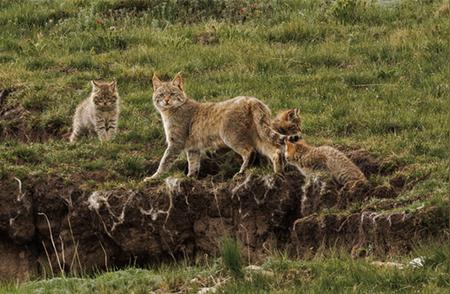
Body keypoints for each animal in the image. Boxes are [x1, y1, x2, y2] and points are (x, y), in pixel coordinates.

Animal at [144, 73, 284, 179]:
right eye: (161, 94)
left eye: (172, 93)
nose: (166, 100)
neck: (170, 112)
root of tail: (252, 100)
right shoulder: (193, 148)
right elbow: (193, 164)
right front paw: (190, 178)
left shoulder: (175, 143)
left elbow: (164, 162)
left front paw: (153, 177)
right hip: (258, 136)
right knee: (275, 151)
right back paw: (278, 174)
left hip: (231, 136)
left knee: (249, 151)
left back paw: (242, 172)